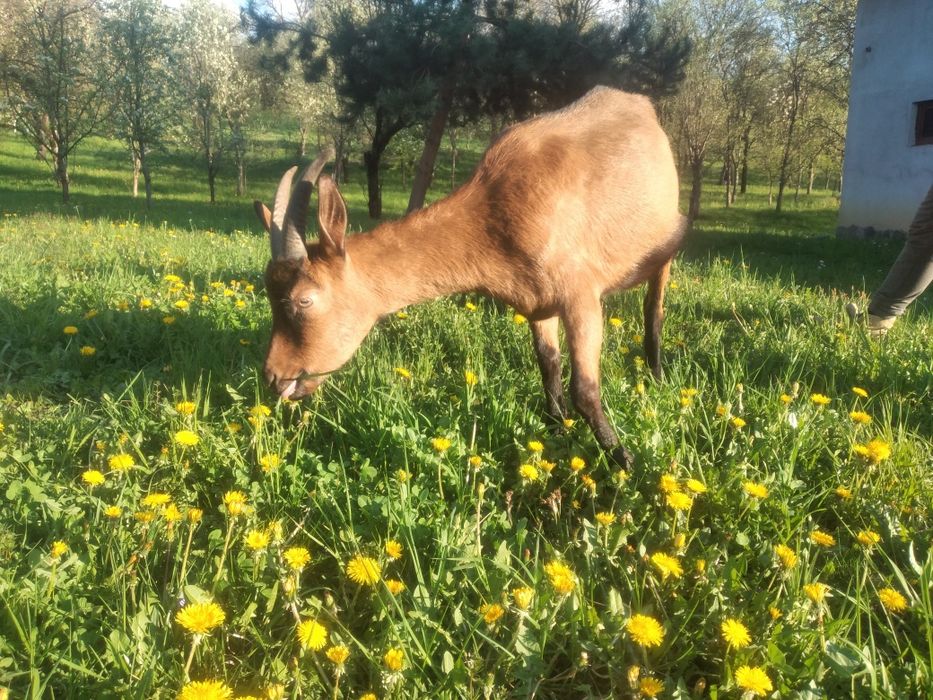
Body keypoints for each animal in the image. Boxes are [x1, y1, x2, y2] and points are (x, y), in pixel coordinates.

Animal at [253, 87, 686, 467]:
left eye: (304, 299)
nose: (274, 376)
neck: (497, 211)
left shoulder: (581, 296)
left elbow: (586, 388)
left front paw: (623, 460)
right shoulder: (537, 303)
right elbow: (548, 364)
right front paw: (556, 430)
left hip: (666, 240)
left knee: (655, 306)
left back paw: (657, 372)